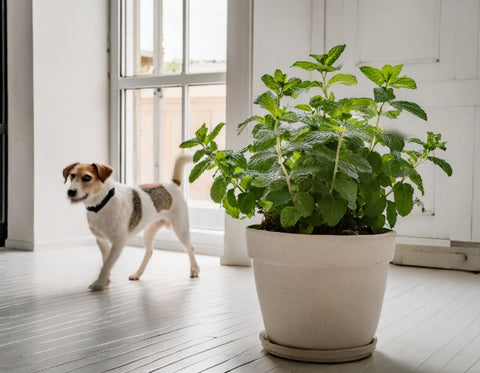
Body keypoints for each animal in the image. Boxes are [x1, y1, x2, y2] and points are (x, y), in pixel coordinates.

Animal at [62, 155, 199, 290]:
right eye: (72, 176)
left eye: (87, 177)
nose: (70, 192)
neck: (103, 203)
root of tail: (172, 184)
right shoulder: (101, 241)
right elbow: (106, 261)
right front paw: (105, 280)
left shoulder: (118, 243)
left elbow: (107, 264)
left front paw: (99, 283)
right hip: (148, 232)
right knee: (149, 252)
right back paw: (137, 274)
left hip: (180, 228)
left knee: (190, 248)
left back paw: (195, 270)